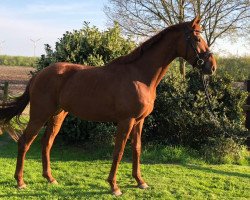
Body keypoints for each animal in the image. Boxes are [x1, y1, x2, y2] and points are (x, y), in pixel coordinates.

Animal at [0, 17, 215, 195]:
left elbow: (137, 149)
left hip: (58, 115)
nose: (211, 66)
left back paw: (50, 179)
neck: (139, 75)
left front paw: (140, 181)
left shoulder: (139, 121)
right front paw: (114, 186)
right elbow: (119, 151)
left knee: (46, 143)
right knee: (25, 142)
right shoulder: (126, 121)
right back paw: (20, 182)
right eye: (197, 38)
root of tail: (39, 75)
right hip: (39, 115)